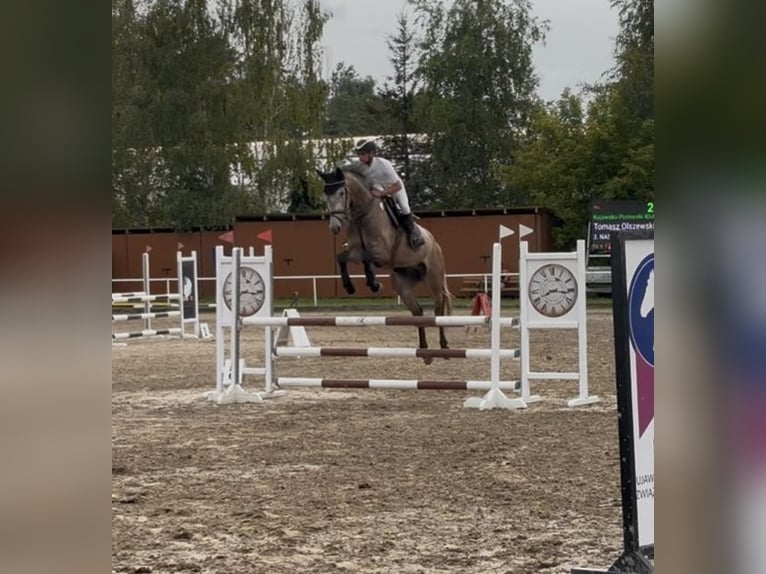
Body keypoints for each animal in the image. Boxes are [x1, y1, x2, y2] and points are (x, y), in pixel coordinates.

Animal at [315, 165, 454, 363]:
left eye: (341, 193)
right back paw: (424, 351)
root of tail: (435, 244)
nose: (334, 227)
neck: (363, 215)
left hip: (433, 279)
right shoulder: (355, 251)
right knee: (418, 312)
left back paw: (443, 346)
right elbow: (342, 258)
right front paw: (350, 287)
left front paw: (374, 284)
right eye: (325, 195)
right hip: (402, 284)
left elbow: (367, 259)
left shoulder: (382, 253)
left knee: (439, 309)